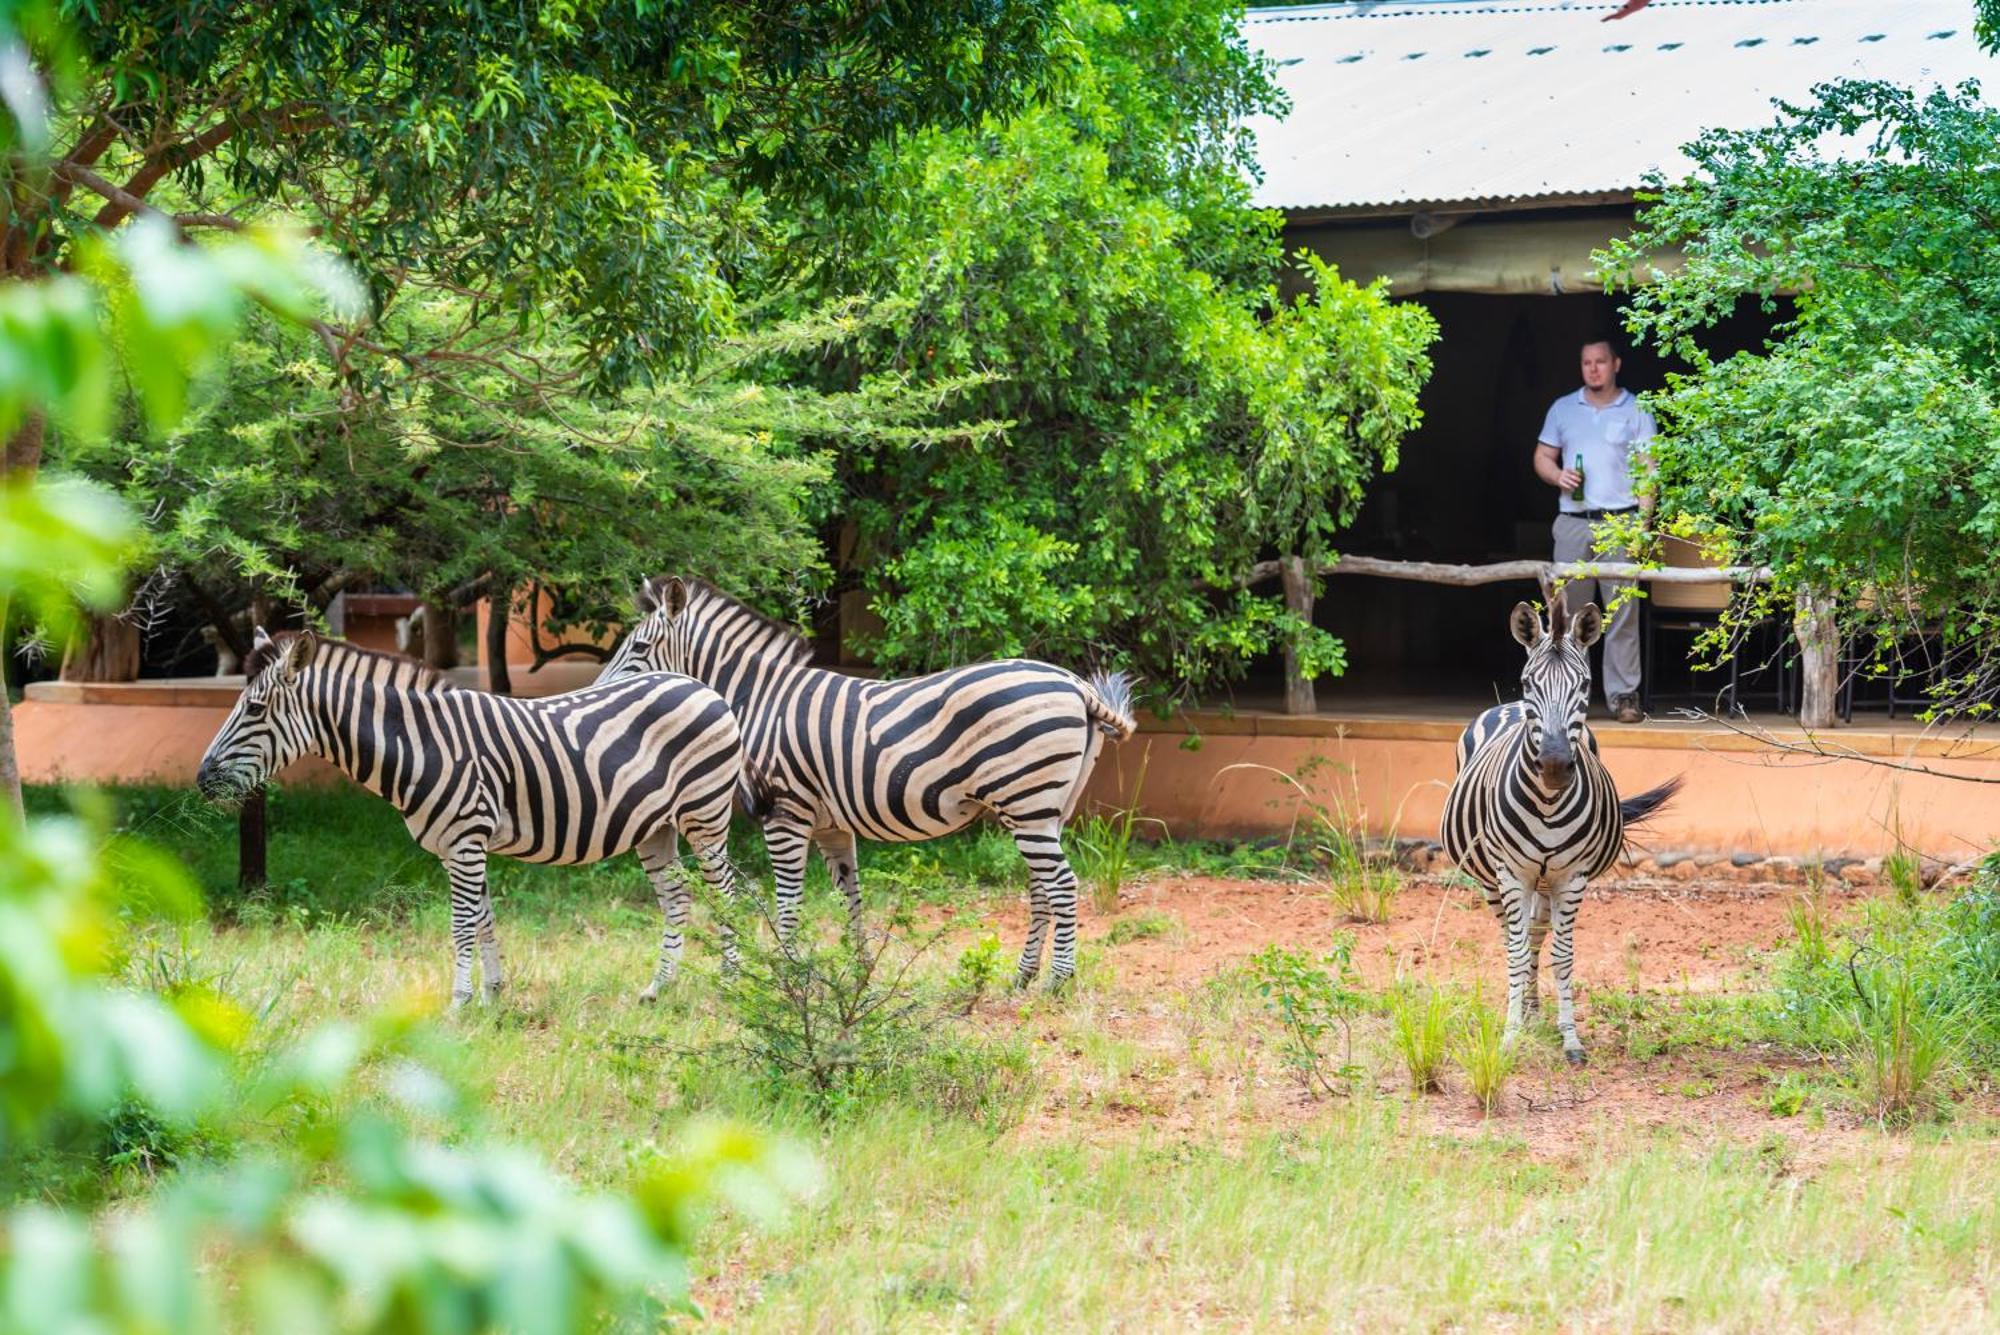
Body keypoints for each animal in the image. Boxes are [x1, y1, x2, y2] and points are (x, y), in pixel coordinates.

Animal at [197, 631, 752, 1007]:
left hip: (705, 814)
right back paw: (659, 988)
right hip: (656, 827)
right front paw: (492, 994)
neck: (421, 746)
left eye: (255, 709)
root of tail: (699, 684)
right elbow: (483, 919)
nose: (202, 779)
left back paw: (731, 982)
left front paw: (459, 1003)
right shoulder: (456, 846)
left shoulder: (466, 838)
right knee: (678, 899)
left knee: (728, 894)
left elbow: (461, 923)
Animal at [592, 575, 1136, 991]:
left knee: (1061, 884)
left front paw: (788, 975)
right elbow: (848, 897)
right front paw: (857, 974)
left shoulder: (785, 812)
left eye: (639, 647)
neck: (760, 700)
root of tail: (1074, 684)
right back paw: (1023, 976)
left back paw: (1057, 980)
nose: (597, 694)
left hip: (1026, 802)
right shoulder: (830, 823)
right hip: (1044, 809)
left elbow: (788, 899)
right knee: (1042, 886)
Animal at [1448, 603, 1680, 1063]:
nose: (1554, 767)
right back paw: (1523, 1010)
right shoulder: (1511, 874)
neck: (1548, 804)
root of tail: (1507, 706)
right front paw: (1510, 1036)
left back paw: (1535, 1008)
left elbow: (1561, 954)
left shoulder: (1571, 878)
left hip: (1545, 882)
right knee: (1513, 938)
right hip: (1491, 877)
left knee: (1538, 934)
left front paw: (1569, 1036)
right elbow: (1517, 950)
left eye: (1586, 685)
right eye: (1527, 681)